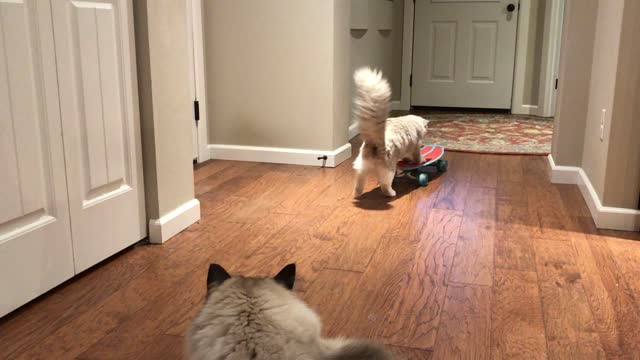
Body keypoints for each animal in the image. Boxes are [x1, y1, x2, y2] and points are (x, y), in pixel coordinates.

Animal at [350, 67, 430, 197]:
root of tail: (375, 141)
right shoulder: (415, 148)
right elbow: (418, 158)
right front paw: (421, 160)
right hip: (389, 171)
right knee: (385, 186)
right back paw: (392, 193)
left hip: (361, 169)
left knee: (358, 184)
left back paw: (357, 194)